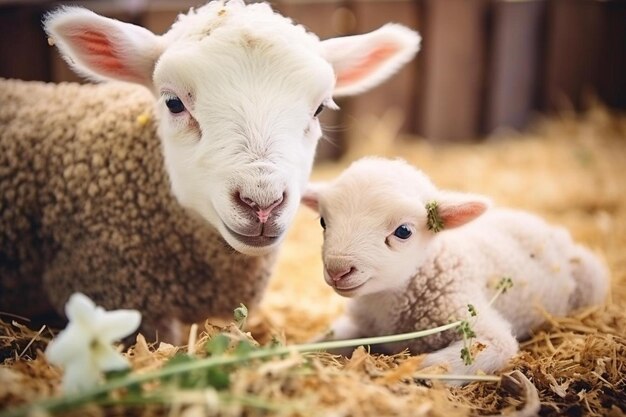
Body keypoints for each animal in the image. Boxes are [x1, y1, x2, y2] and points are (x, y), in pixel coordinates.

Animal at [300, 157, 608, 376]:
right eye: (323, 222)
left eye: (403, 231)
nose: (338, 269)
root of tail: (551, 228)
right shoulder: (358, 324)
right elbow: (320, 342)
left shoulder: (483, 329)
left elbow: (434, 366)